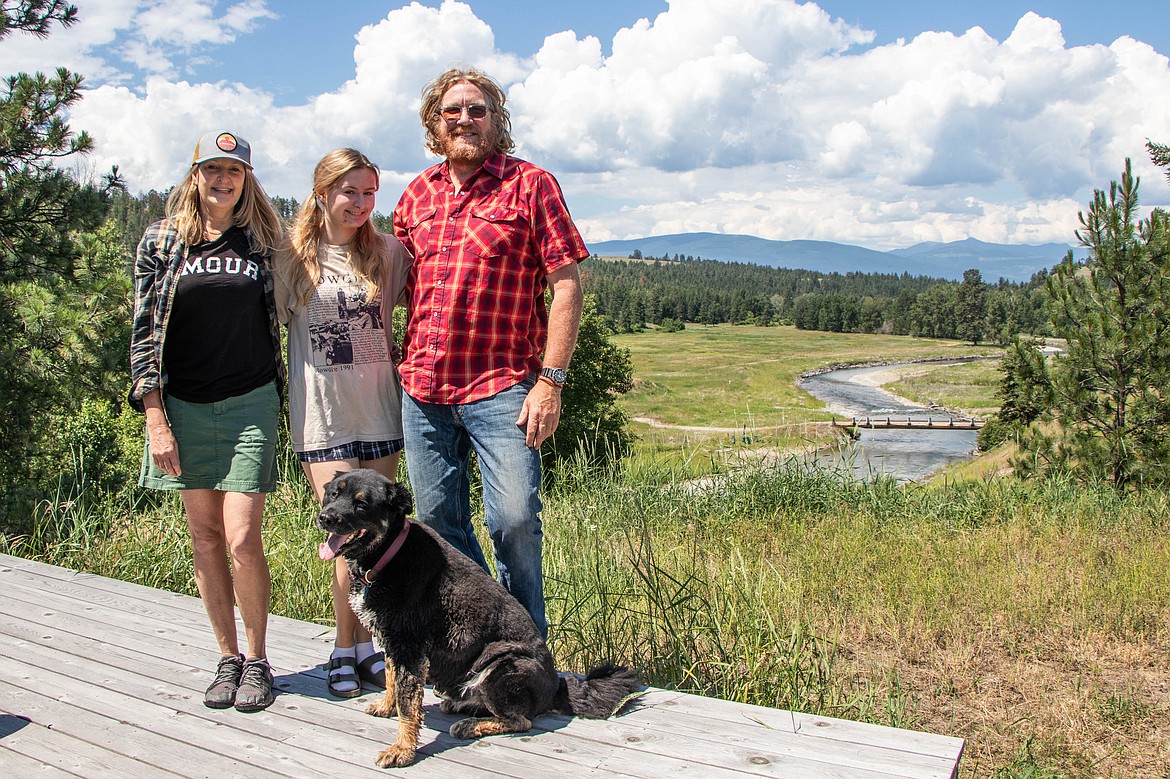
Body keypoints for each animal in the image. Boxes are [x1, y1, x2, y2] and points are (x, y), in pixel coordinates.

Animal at [315, 467, 645, 762]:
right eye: (333, 494)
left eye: (361, 503)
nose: (325, 517)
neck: (388, 553)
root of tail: (556, 687)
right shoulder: (393, 641)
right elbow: (392, 678)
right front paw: (386, 707)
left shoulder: (409, 646)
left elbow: (408, 703)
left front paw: (403, 749)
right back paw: (459, 706)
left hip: (502, 665)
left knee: (521, 720)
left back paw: (469, 725)